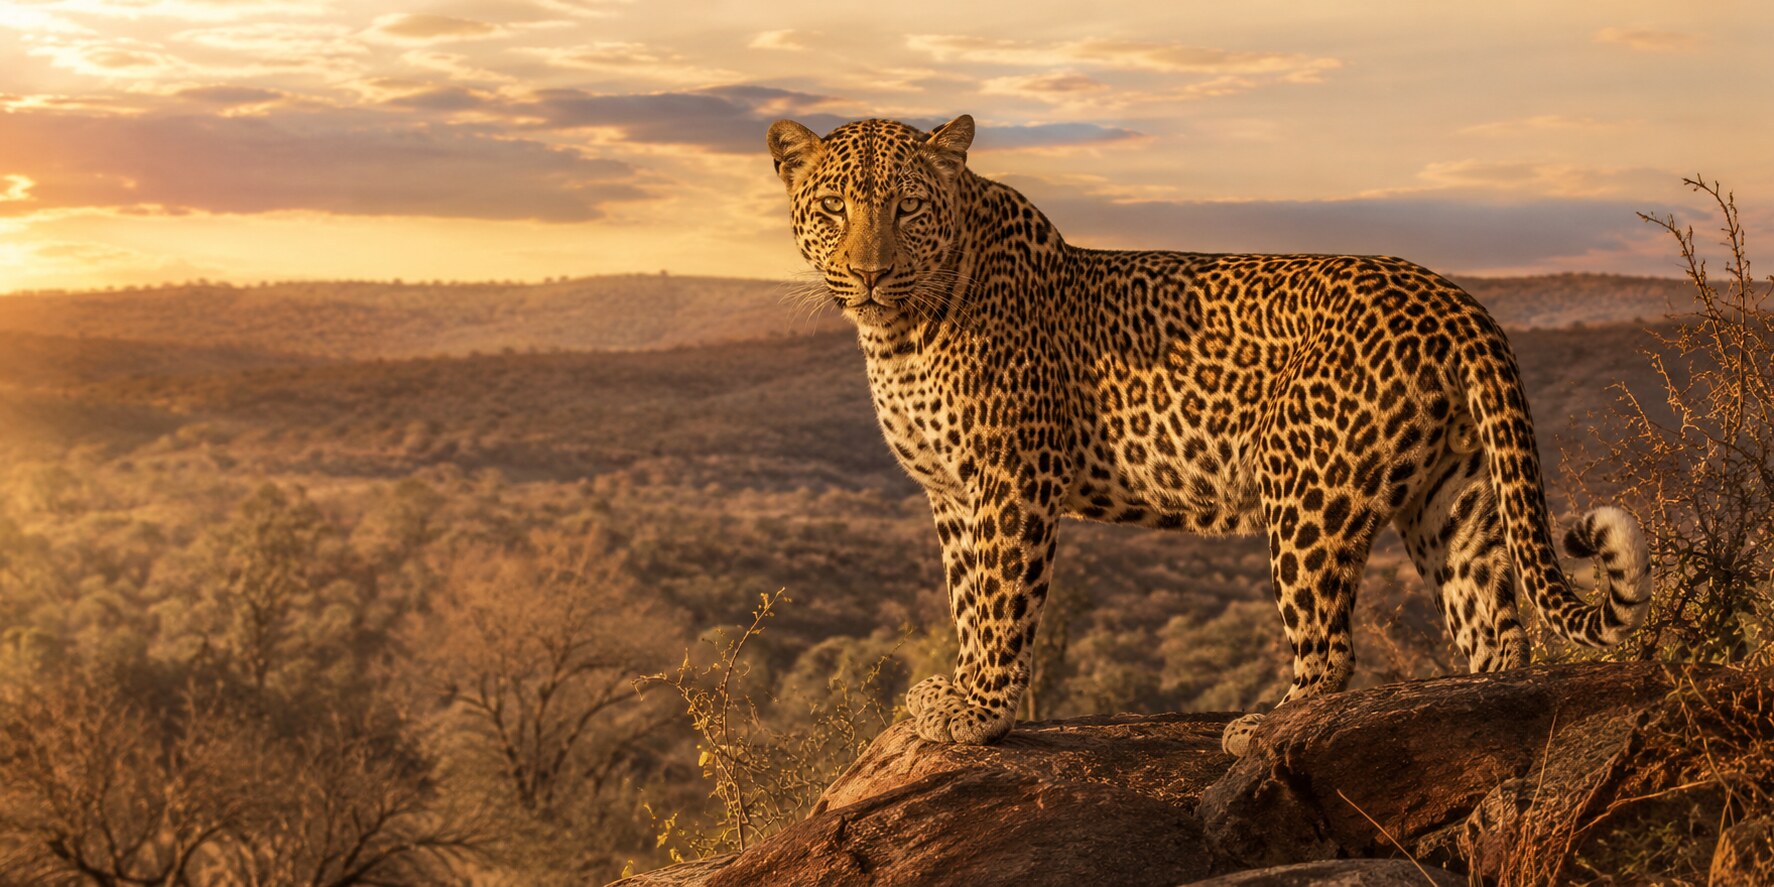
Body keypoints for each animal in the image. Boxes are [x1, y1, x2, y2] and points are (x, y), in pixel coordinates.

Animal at [765, 113, 1653, 756]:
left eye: (908, 208)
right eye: (834, 209)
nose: (871, 272)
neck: (899, 333)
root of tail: (1454, 299)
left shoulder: (1013, 478)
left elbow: (1002, 596)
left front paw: (981, 710)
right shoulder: (952, 491)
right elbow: (967, 601)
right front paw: (958, 690)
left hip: (1308, 486)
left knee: (1330, 644)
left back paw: (1264, 728)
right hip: (1452, 493)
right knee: (1496, 626)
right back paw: (1472, 710)